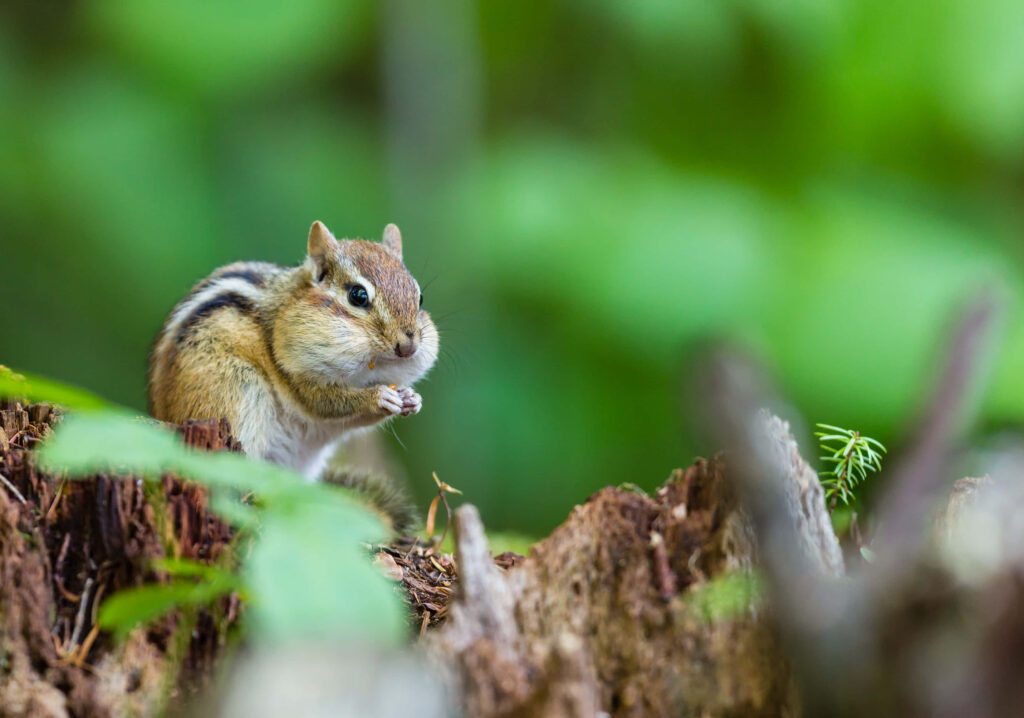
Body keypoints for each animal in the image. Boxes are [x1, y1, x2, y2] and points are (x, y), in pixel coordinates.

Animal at [148, 221, 438, 527]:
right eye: (357, 296)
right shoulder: (294, 373)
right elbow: (323, 403)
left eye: (419, 297)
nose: (408, 346)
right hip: (235, 391)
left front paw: (411, 398)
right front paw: (379, 397)